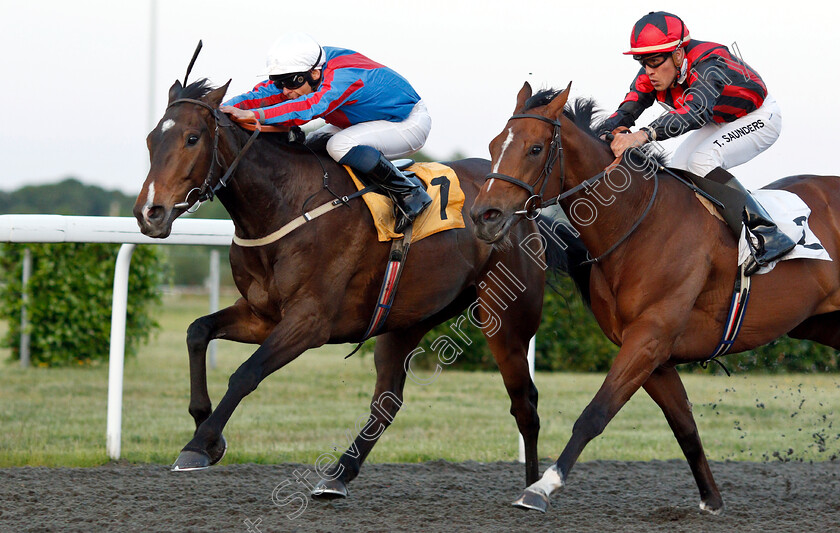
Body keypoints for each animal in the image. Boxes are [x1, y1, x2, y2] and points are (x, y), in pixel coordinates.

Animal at [131, 78, 592, 498]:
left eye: (192, 138)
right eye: (152, 138)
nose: (149, 213)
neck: (287, 202)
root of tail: (526, 211)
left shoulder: (310, 322)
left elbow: (246, 373)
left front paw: (199, 444)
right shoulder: (263, 315)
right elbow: (197, 331)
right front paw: (205, 428)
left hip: (505, 319)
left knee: (525, 403)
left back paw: (532, 487)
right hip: (406, 318)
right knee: (387, 401)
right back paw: (337, 475)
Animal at [472, 82, 840, 512]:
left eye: (534, 148)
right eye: (494, 144)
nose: (484, 216)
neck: (638, 223)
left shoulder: (649, 337)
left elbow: (594, 414)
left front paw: (541, 488)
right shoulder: (654, 355)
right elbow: (684, 426)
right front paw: (711, 501)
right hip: (823, 324)